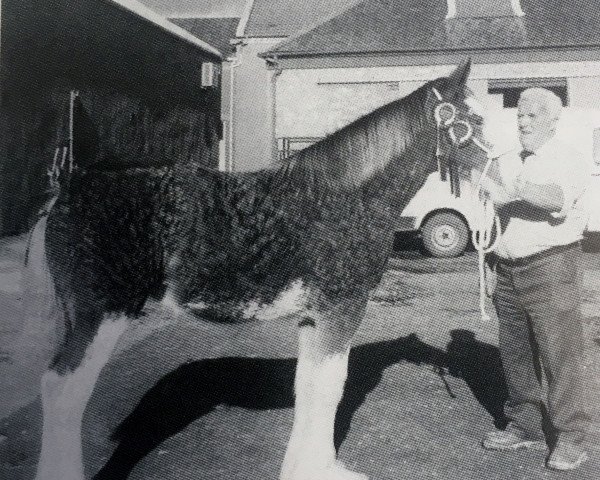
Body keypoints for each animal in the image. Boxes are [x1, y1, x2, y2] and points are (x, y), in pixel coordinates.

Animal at [25, 58, 490, 478]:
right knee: (63, 391)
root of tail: (67, 189)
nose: (504, 162)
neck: (347, 196)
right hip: (102, 312)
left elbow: (310, 386)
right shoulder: (342, 309)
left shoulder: (314, 316)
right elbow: (331, 387)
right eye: (474, 118)